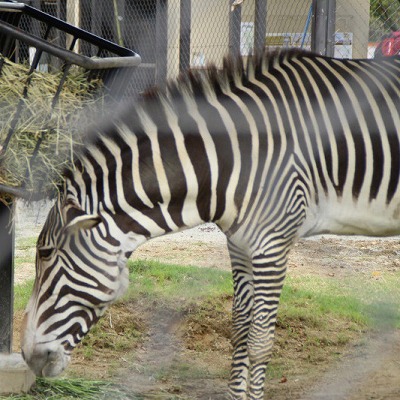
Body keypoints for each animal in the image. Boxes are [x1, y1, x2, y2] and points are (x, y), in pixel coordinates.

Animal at [21, 50, 400, 400]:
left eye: (46, 253)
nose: (26, 356)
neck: (234, 157)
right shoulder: (240, 242)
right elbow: (240, 330)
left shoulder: (273, 244)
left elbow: (260, 341)